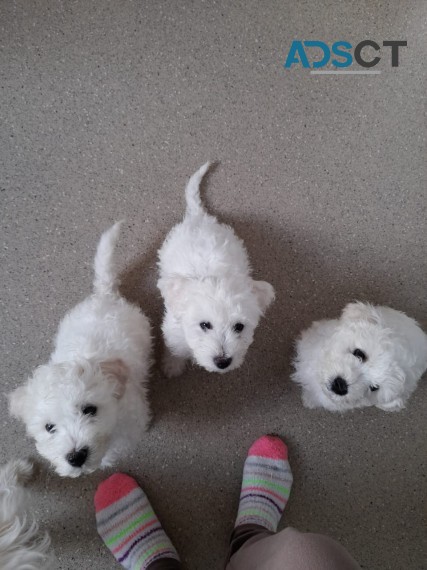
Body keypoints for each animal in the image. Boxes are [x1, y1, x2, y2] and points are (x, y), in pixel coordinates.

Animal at [7, 222, 152, 474]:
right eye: (49, 427)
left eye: (90, 409)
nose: (76, 457)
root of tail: (104, 294)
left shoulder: (131, 421)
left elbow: (119, 445)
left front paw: (107, 459)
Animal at [159, 163, 276, 378]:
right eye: (205, 325)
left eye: (239, 327)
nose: (223, 362)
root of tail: (199, 216)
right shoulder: (174, 328)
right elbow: (176, 348)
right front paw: (172, 366)